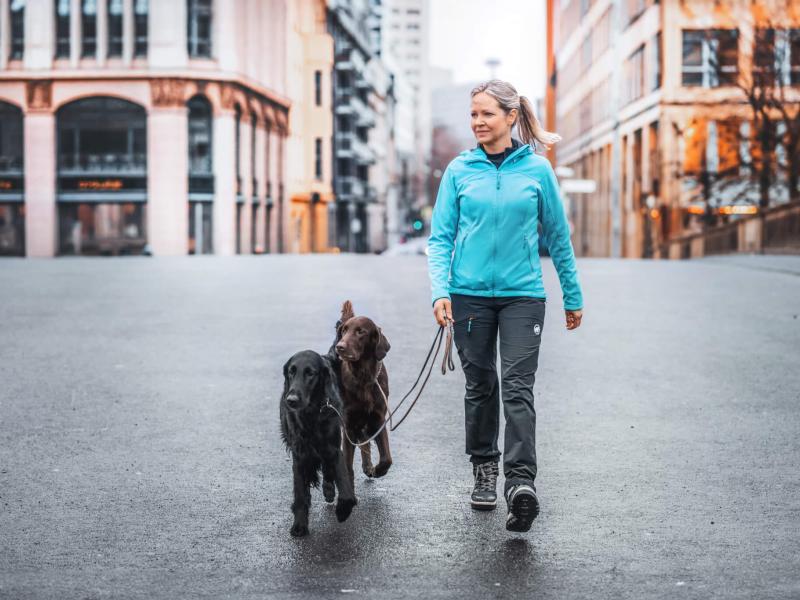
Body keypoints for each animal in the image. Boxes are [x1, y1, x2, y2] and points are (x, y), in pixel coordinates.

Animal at [282, 350, 356, 536]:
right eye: (291, 372)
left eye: (311, 373)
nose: (291, 400)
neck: (312, 413)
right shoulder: (299, 455)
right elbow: (300, 494)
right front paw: (299, 525)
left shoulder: (334, 449)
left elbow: (346, 490)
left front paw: (343, 511)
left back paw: (329, 490)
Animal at [332, 300, 394, 488]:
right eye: (344, 330)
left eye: (361, 332)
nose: (339, 347)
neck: (363, 377)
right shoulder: (349, 425)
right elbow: (347, 464)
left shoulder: (378, 419)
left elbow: (387, 458)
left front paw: (378, 470)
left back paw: (368, 467)